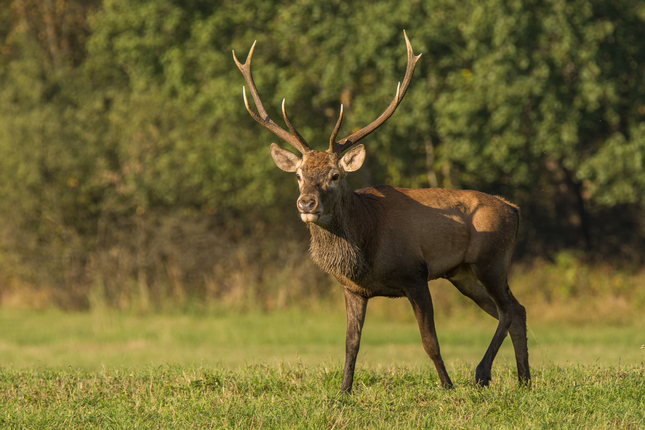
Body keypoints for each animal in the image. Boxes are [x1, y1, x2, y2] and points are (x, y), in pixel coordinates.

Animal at [231, 30, 528, 394]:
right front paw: (343, 390)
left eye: (335, 175)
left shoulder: (416, 274)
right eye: (299, 175)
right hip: (462, 274)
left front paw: (447, 385)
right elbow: (351, 343)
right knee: (516, 309)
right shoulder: (353, 288)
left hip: (491, 260)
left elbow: (430, 341)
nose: (306, 204)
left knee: (508, 309)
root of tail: (514, 210)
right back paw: (524, 379)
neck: (366, 246)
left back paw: (483, 372)